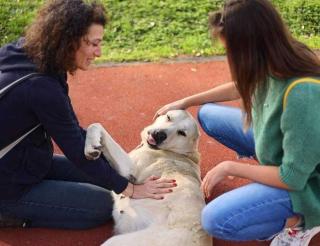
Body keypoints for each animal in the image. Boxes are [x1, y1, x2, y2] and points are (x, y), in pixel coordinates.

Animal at [84, 110, 212, 245]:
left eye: (182, 133)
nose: (159, 134)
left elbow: (96, 125)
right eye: (168, 117)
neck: (180, 153)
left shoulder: (129, 169)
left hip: (117, 241)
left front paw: (90, 147)